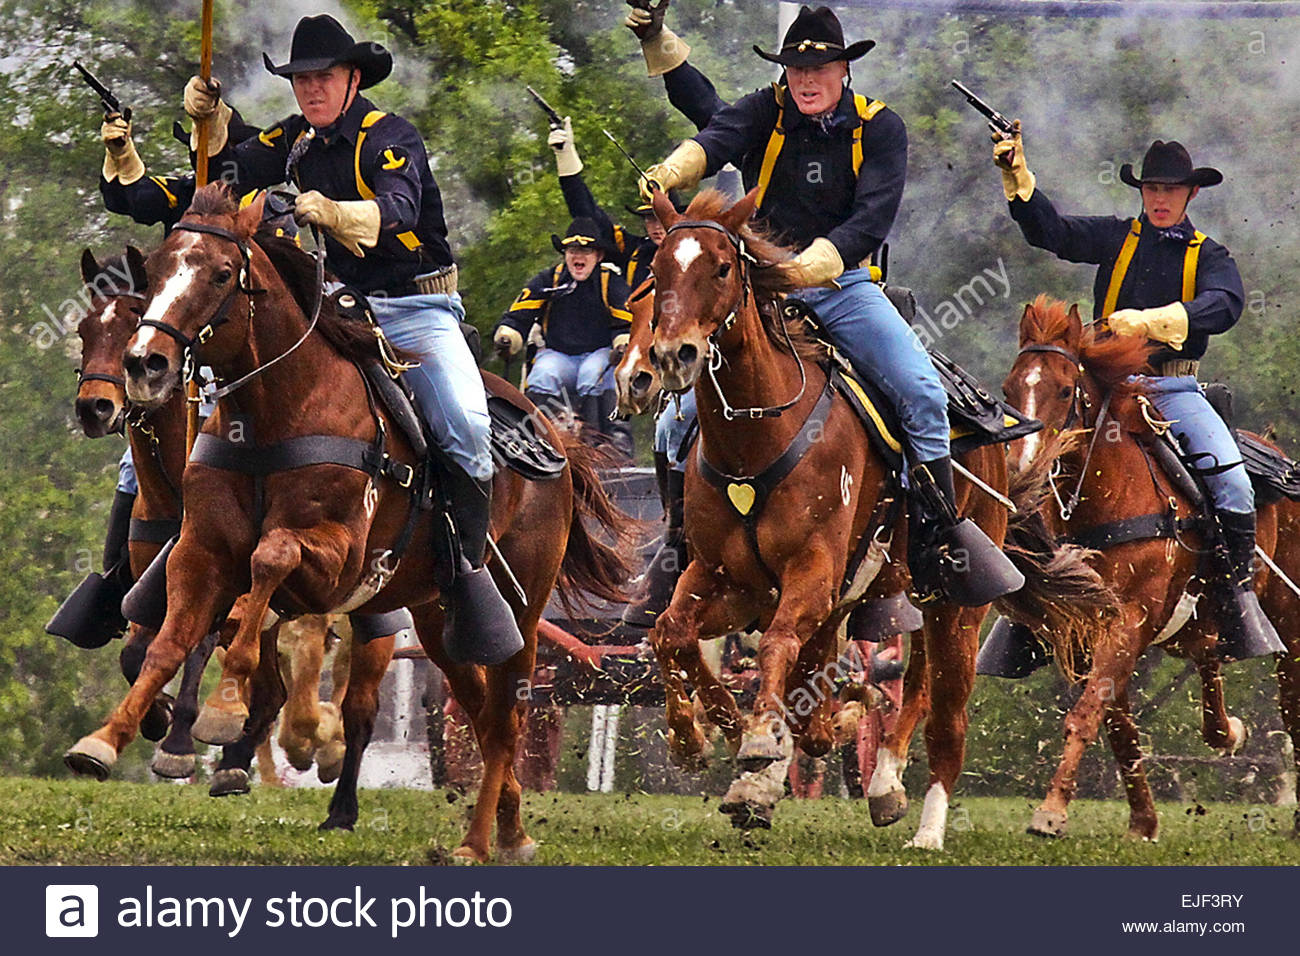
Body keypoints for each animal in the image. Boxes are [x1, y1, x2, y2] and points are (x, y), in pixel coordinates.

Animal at [65, 187, 629, 858]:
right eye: (153, 275)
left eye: (222, 273)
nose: (143, 366)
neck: (274, 412)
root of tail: (554, 442)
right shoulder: (196, 555)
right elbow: (165, 646)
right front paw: (107, 740)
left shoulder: (334, 563)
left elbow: (269, 562)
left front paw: (225, 713)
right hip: (442, 622)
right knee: (481, 711)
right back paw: (510, 829)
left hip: (520, 615)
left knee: (501, 716)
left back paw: (470, 840)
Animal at [644, 187, 1071, 842]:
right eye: (658, 268)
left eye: (720, 267)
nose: (674, 354)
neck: (759, 436)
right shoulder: (725, 579)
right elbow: (672, 634)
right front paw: (706, 736)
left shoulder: (811, 576)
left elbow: (775, 650)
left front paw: (760, 744)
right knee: (897, 686)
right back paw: (878, 780)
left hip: (955, 606)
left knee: (944, 716)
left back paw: (927, 826)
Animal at [998, 295, 1294, 842]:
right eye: (1010, 389)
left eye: (1065, 389)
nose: (1021, 472)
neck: (1108, 494)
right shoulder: (1092, 629)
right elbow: (1114, 718)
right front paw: (1143, 819)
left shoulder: (1130, 618)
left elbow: (1087, 712)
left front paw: (1051, 810)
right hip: (1194, 623)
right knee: (1209, 661)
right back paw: (1227, 731)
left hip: (1287, 622)